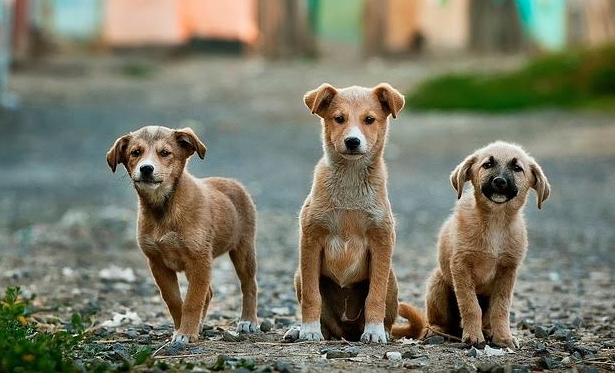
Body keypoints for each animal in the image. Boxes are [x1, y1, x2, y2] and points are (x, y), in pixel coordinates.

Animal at [107, 126, 258, 344]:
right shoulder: (158, 263)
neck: (163, 208)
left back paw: (248, 321)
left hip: (243, 249)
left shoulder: (199, 260)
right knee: (209, 293)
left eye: (165, 153)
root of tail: (233, 182)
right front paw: (182, 329)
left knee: (249, 285)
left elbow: (192, 301)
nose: (146, 169)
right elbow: (175, 300)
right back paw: (200, 325)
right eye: (135, 152)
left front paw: (186, 333)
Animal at [286, 83, 406, 342]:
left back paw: (381, 331)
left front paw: (374, 331)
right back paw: (303, 330)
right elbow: (312, 296)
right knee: (326, 322)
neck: (350, 181)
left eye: (369, 119)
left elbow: (375, 296)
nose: (352, 141)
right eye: (339, 118)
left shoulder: (382, 240)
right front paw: (309, 330)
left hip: (392, 279)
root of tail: (346, 332)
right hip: (299, 275)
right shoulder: (311, 239)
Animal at [398, 141, 552, 348]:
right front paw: (473, 336)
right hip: (437, 283)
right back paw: (436, 332)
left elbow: (501, 308)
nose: (499, 181)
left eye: (517, 168)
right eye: (487, 165)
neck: (496, 222)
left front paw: (503, 337)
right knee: (437, 321)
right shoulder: (461, 266)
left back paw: (488, 331)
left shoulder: (508, 270)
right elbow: (470, 305)